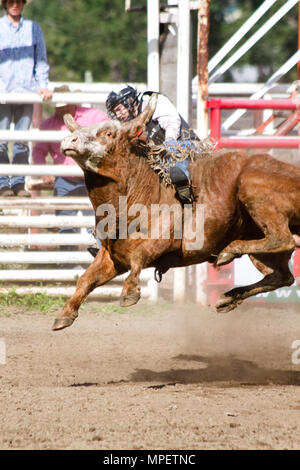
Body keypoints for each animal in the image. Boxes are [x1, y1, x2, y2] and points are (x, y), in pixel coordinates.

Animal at [51, 92, 300, 330]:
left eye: (109, 133)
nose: (69, 140)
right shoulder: (113, 257)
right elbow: (86, 279)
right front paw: (64, 315)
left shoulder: (163, 241)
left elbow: (140, 255)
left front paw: (129, 292)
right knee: (282, 275)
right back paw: (229, 297)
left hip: (252, 187)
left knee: (281, 239)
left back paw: (229, 252)